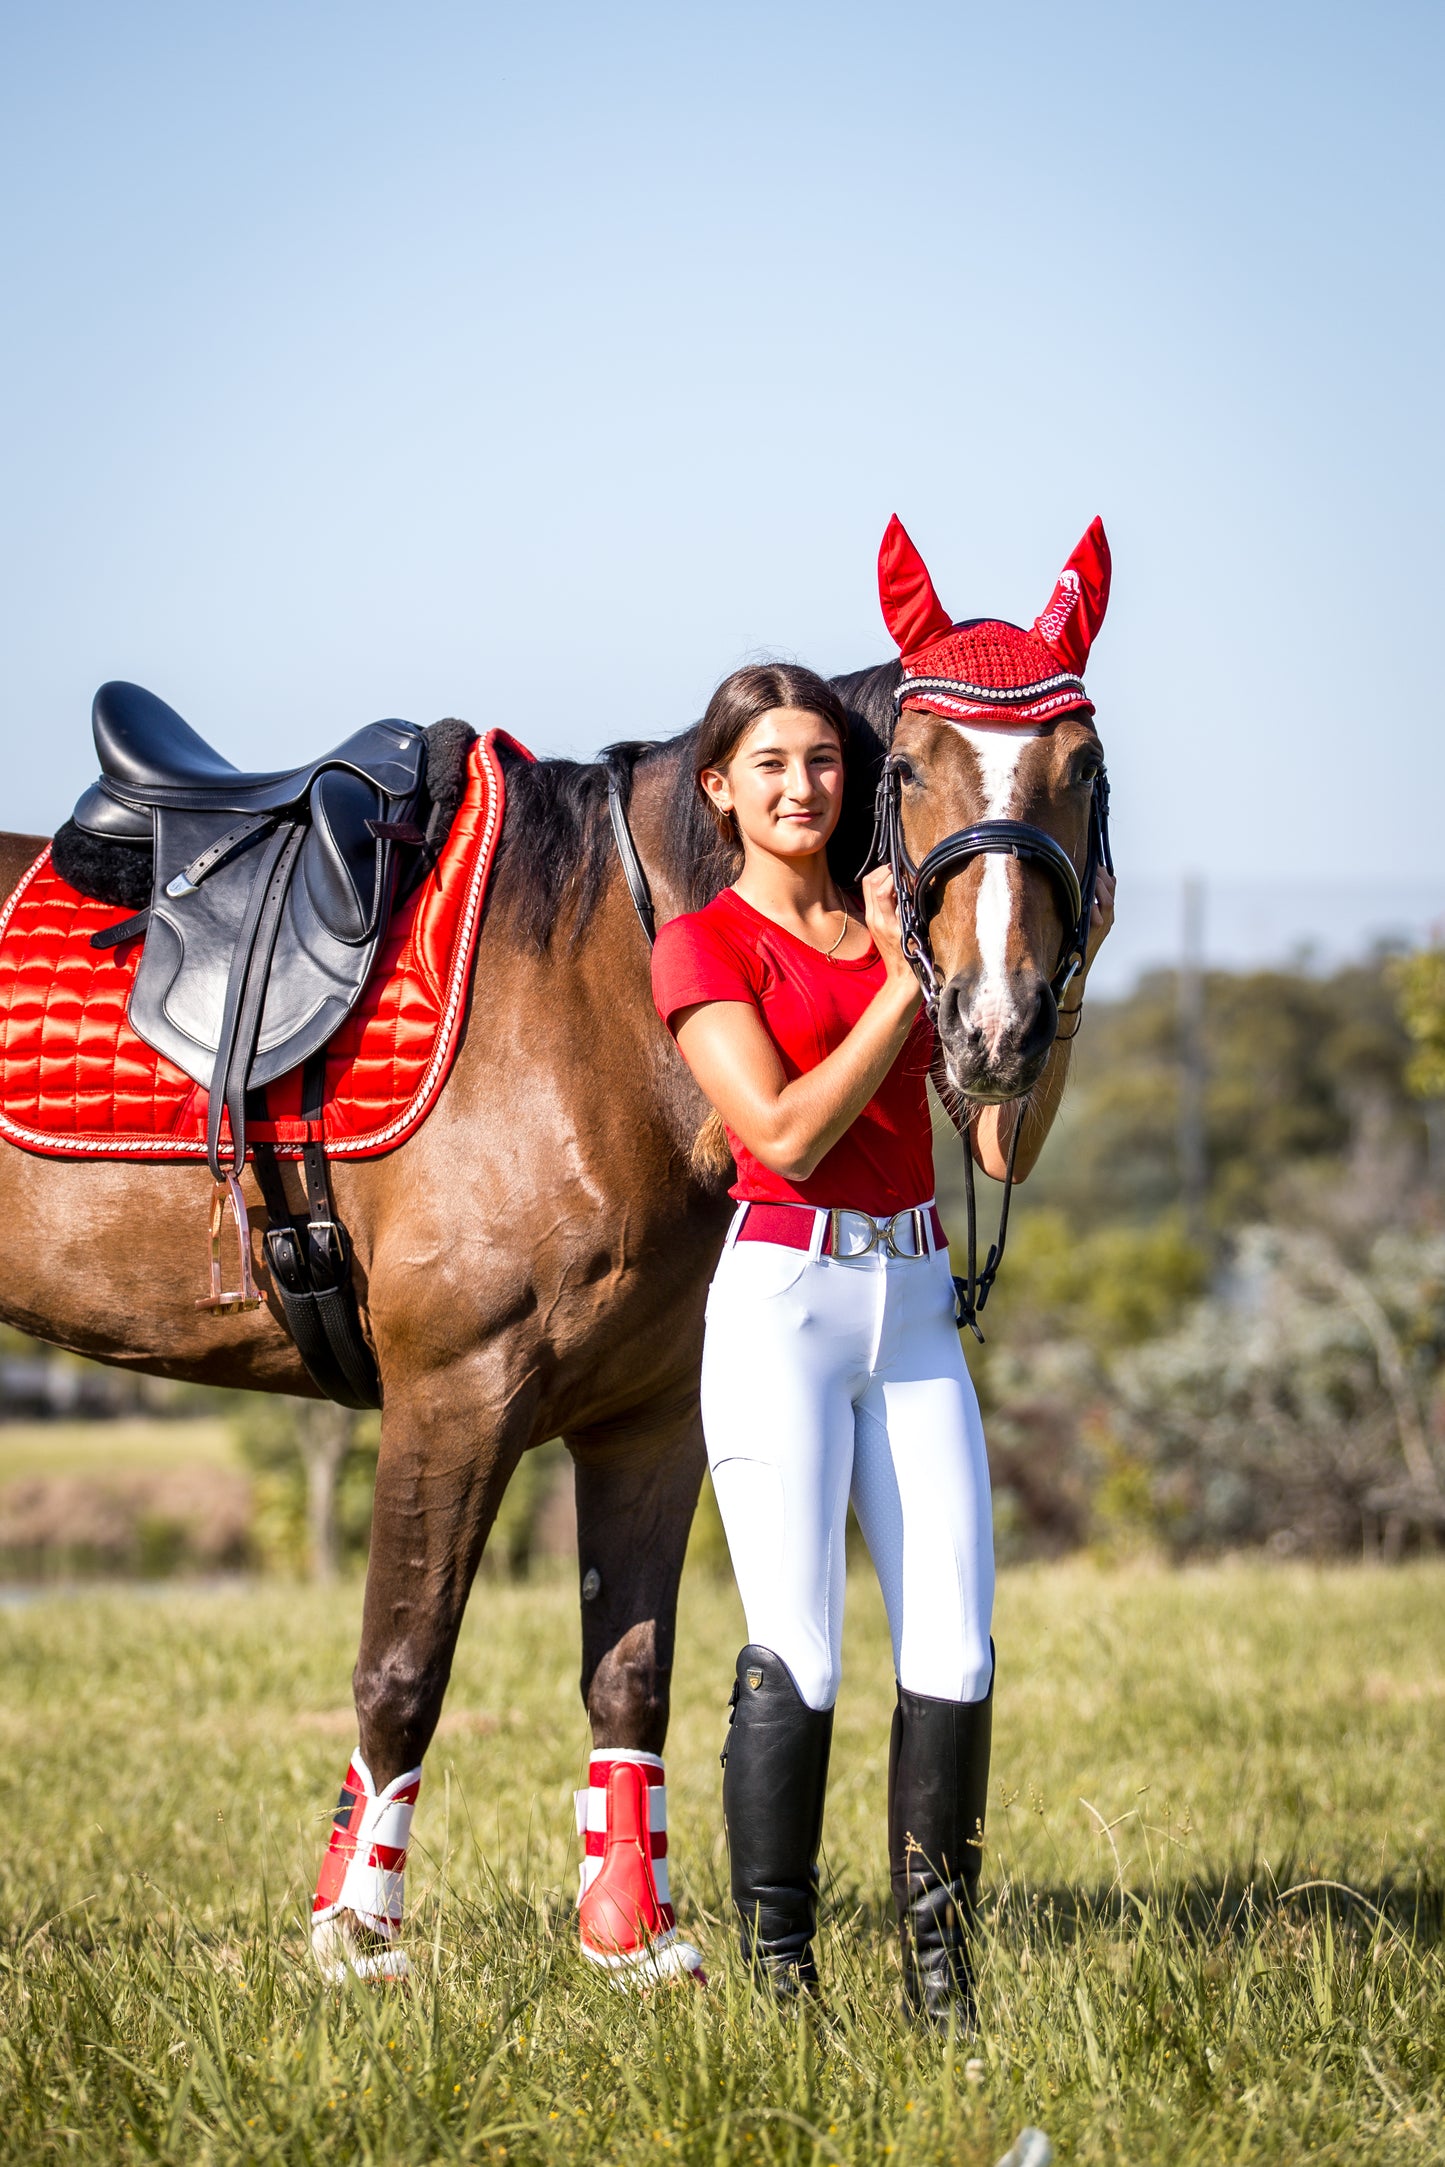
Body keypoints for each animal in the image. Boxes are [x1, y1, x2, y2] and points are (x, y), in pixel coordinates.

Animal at [0, 520, 1117, 1984]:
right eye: (915, 765)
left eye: (1081, 764)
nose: (995, 1026)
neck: (604, 1002)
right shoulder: (453, 1394)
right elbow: (402, 1662)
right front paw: (354, 1931)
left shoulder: (646, 1421)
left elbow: (627, 1670)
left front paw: (631, 1934)